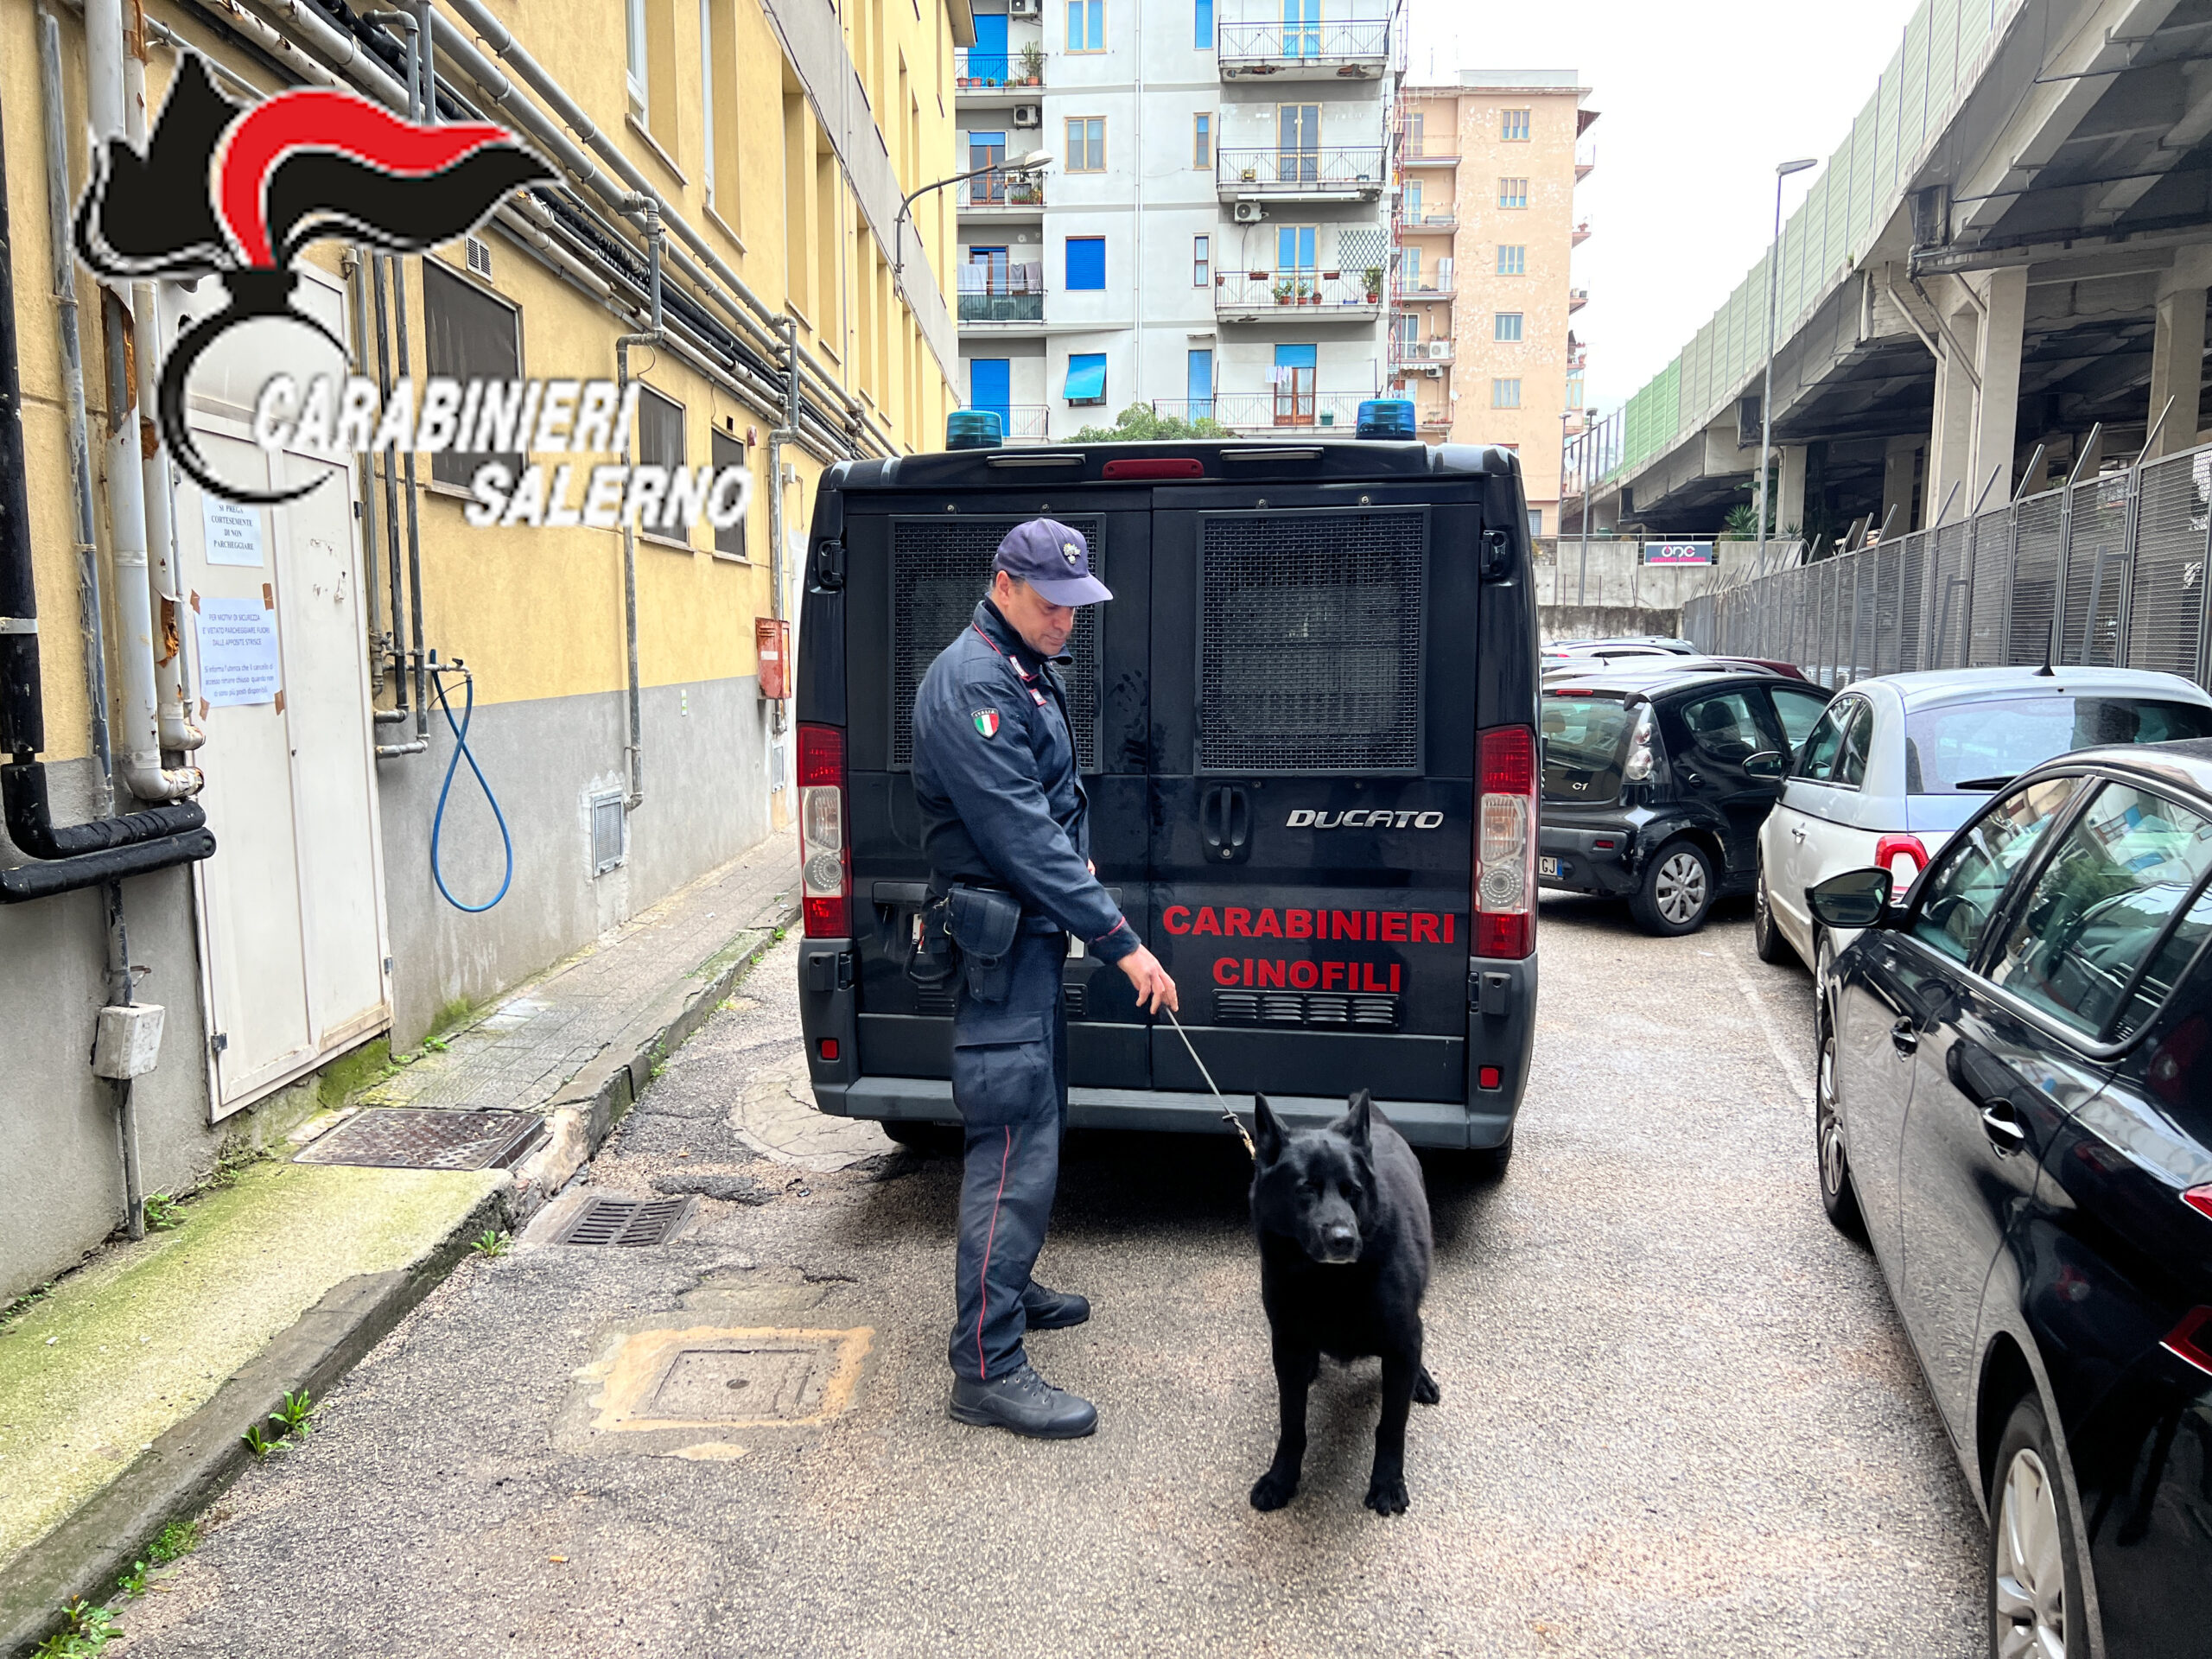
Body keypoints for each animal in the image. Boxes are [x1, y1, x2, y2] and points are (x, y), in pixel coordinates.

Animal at [1247, 1092, 1433, 1522]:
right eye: (1306, 1188)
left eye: (1353, 1191)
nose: (1344, 1240)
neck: (1328, 1281)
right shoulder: (1287, 1346)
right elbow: (1292, 1424)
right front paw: (1281, 1478)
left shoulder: (1403, 1341)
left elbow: (1391, 1424)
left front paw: (1387, 1483)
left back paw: (1421, 1377)